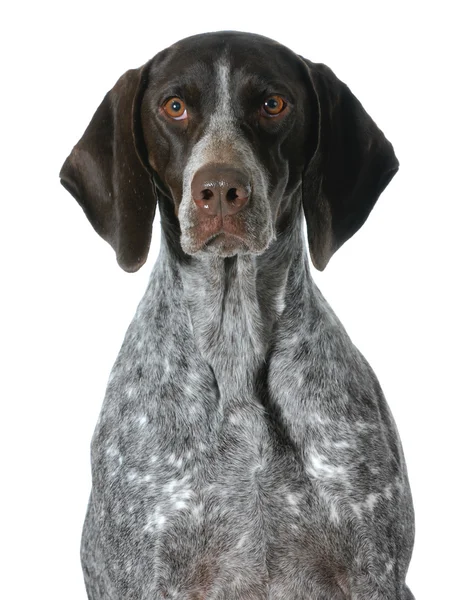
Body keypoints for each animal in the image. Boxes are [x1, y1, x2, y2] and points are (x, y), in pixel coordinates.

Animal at [59, 30, 414, 600]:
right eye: (174, 107)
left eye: (273, 104)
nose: (221, 190)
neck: (235, 344)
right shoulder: (141, 575)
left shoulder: (375, 571)